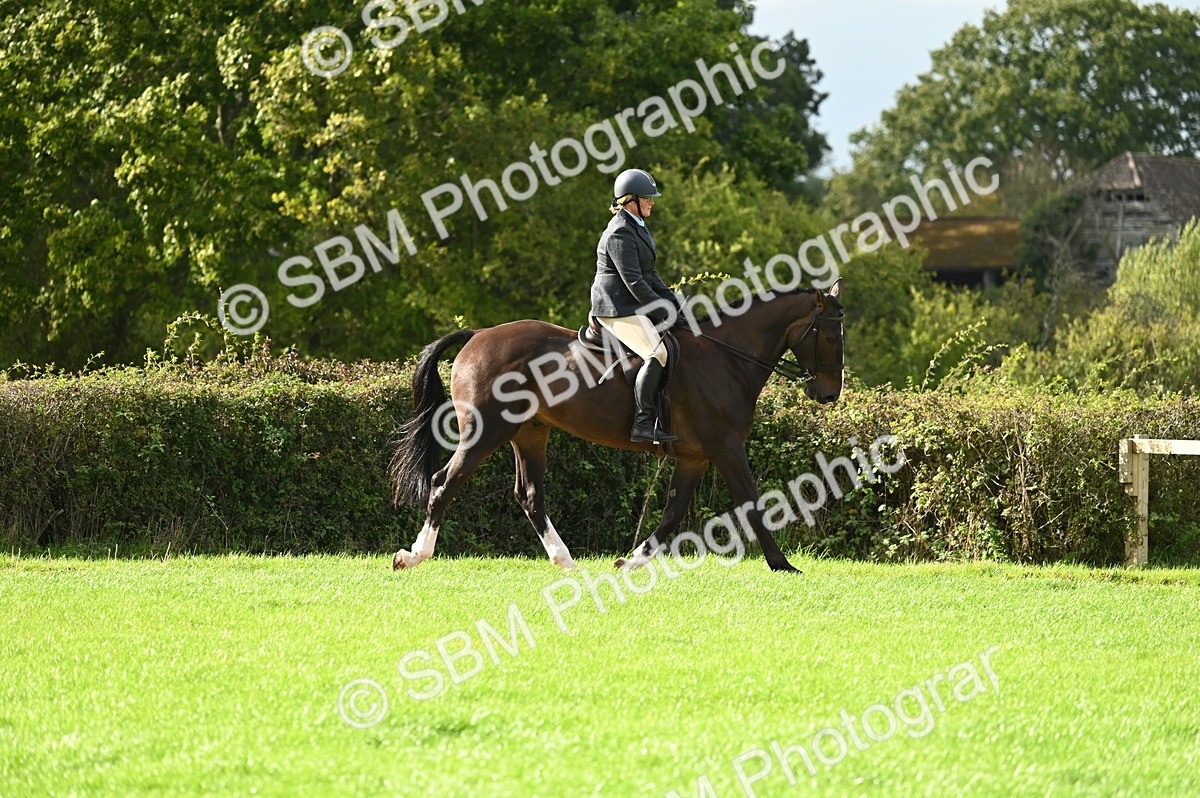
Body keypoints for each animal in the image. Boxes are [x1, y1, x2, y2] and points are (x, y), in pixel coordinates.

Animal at [389, 278, 844, 572]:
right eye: (830, 337)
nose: (829, 395)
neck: (726, 358)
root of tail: (477, 334)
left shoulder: (695, 457)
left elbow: (672, 512)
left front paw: (631, 561)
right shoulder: (726, 447)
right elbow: (751, 502)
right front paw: (783, 565)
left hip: (529, 431)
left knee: (530, 494)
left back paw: (565, 560)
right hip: (487, 431)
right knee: (445, 482)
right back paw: (413, 555)